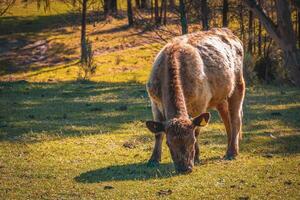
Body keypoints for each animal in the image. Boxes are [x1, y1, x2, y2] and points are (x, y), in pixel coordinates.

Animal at [145, 28, 246, 173]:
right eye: (169, 143)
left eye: (191, 141)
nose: (184, 168)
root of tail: (226, 31)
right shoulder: (155, 103)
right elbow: (158, 133)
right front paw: (153, 159)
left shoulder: (200, 104)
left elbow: (197, 129)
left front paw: (197, 157)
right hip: (220, 96)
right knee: (227, 119)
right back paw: (229, 148)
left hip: (238, 85)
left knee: (235, 118)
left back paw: (232, 152)